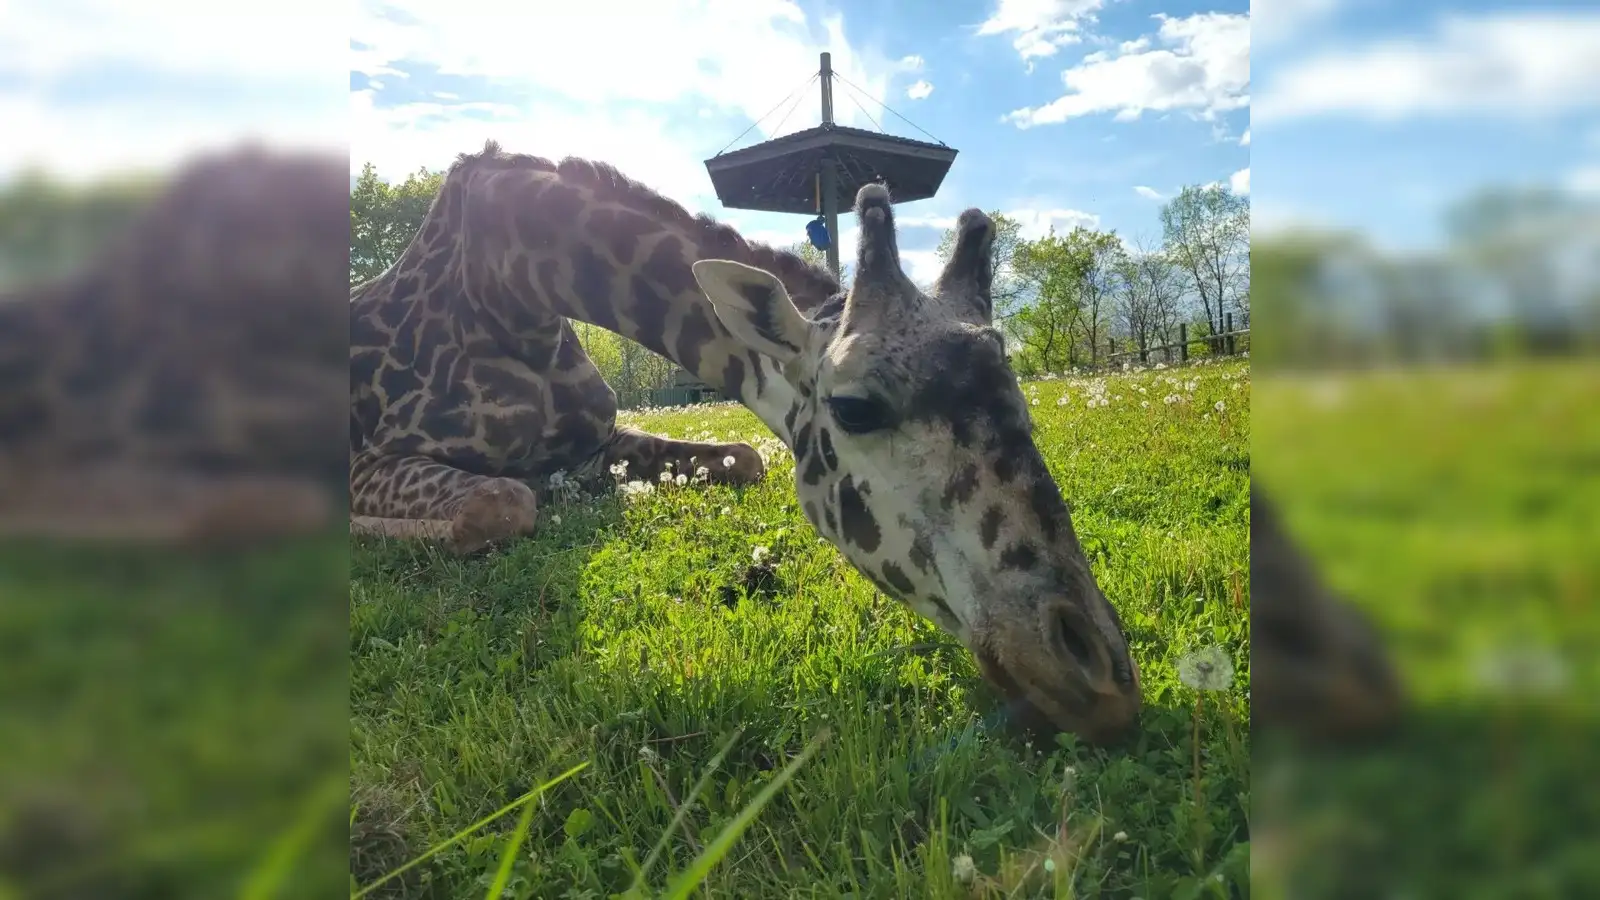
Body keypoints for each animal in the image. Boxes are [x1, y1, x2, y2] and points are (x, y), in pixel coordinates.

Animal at [349, 140, 1143, 743]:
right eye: (854, 408)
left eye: (1021, 398)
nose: (1100, 675)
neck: (512, 292)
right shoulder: (369, 458)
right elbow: (501, 504)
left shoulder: (598, 441)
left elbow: (745, 458)